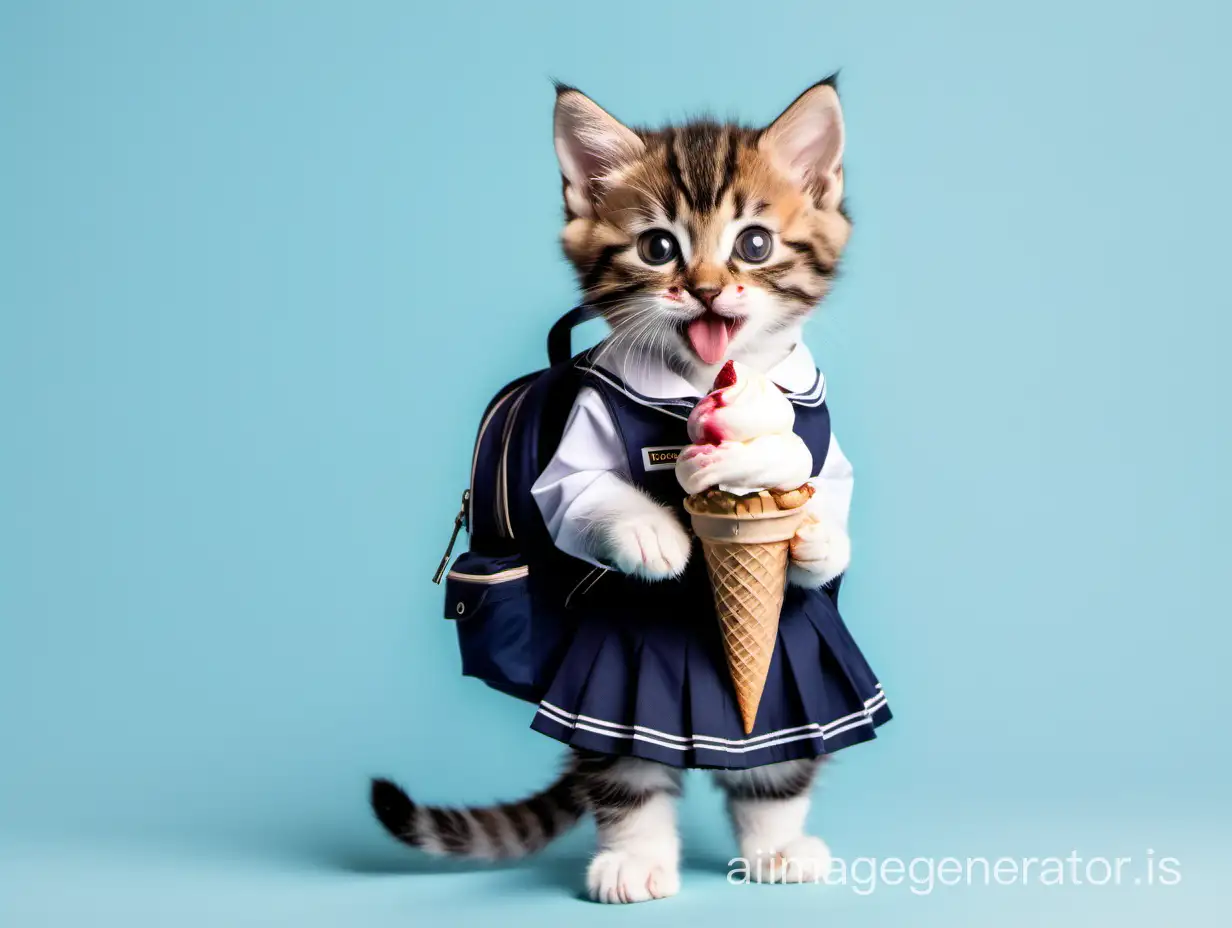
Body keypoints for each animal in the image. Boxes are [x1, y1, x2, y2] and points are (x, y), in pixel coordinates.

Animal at [374, 76, 852, 902]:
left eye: (754, 244)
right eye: (658, 247)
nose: (705, 291)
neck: (698, 382)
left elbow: (833, 489)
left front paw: (818, 538)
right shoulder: (573, 451)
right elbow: (578, 494)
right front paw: (653, 534)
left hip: (793, 697)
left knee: (774, 766)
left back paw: (777, 849)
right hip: (611, 697)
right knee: (628, 773)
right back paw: (633, 861)